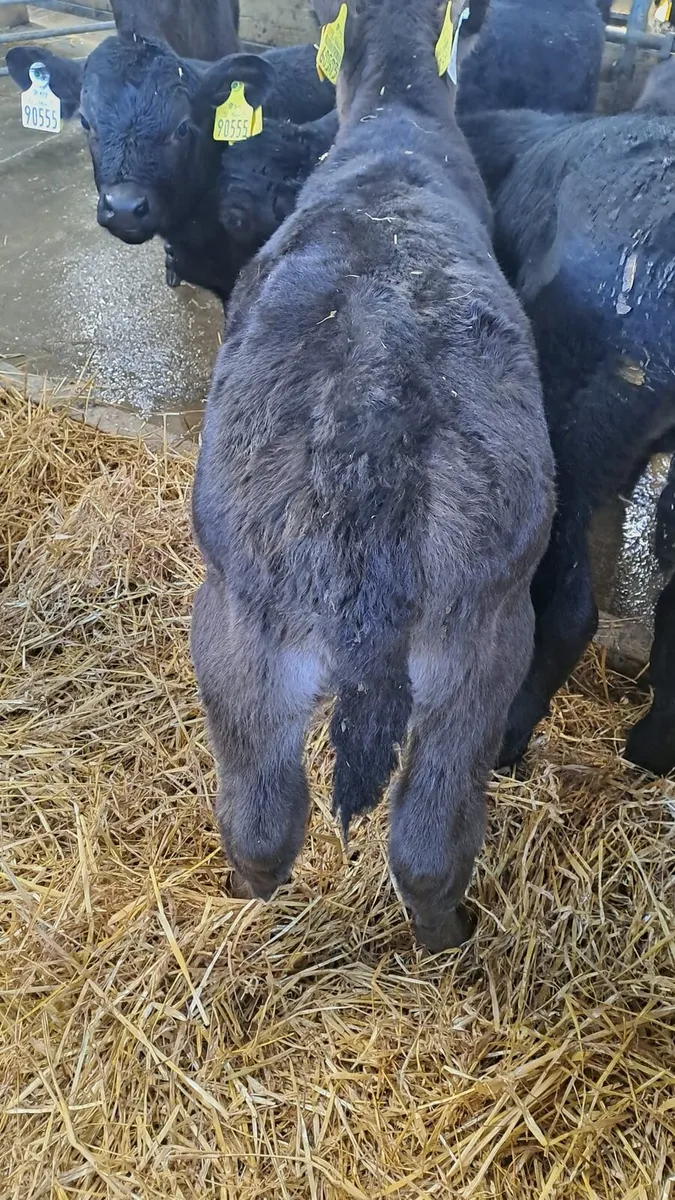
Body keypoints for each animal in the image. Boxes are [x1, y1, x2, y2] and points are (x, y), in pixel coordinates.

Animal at [190, 0, 555, 951]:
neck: (395, 118)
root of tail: (371, 418)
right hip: (480, 647)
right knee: (421, 839)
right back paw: (443, 941)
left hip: (242, 634)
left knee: (264, 822)